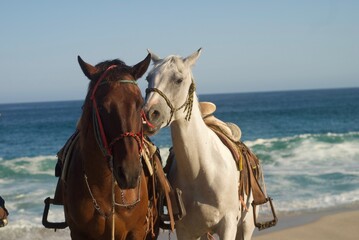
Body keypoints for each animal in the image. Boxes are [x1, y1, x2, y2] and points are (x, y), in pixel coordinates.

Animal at [143, 48, 256, 240]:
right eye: (148, 78)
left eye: (178, 80)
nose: (149, 114)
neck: (200, 170)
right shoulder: (185, 231)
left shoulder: (228, 225)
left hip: (246, 226)